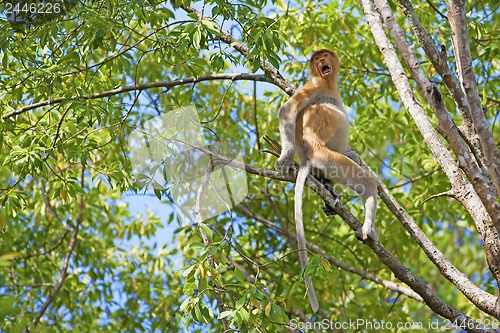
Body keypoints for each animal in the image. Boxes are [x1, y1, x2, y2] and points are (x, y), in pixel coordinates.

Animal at [276, 49, 376, 312]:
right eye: (317, 58)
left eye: (325, 55)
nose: (322, 62)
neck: (329, 85)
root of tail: (306, 160)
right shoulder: (313, 86)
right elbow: (287, 110)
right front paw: (285, 156)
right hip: (325, 156)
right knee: (367, 180)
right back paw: (368, 227)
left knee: (351, 159)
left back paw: (330, 194)